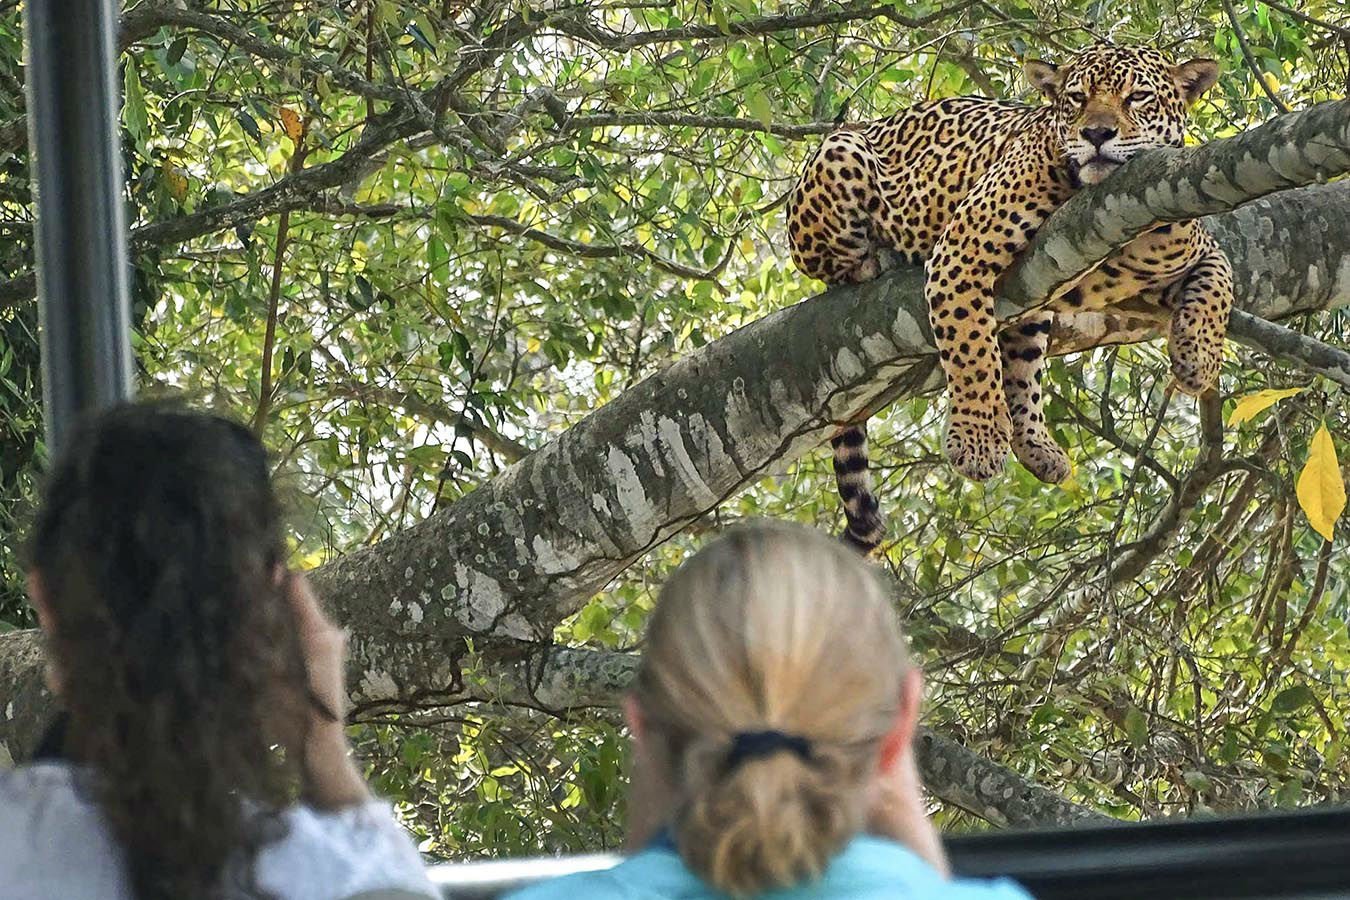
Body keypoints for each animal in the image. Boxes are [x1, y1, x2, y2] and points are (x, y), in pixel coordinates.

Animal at [787, 44, 1233, 554]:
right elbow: (971, 350)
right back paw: (874, 260)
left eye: (1137, 97)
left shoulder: (1188, 236)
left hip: (1031, 309)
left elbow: (1220, 282)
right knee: (828, 260)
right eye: (1076, 99)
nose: (1096, 134)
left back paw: (1036, 444)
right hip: (840, 153)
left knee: (1023, 368)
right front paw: (977, 442)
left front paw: (1198, 359)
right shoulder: (962, 250)